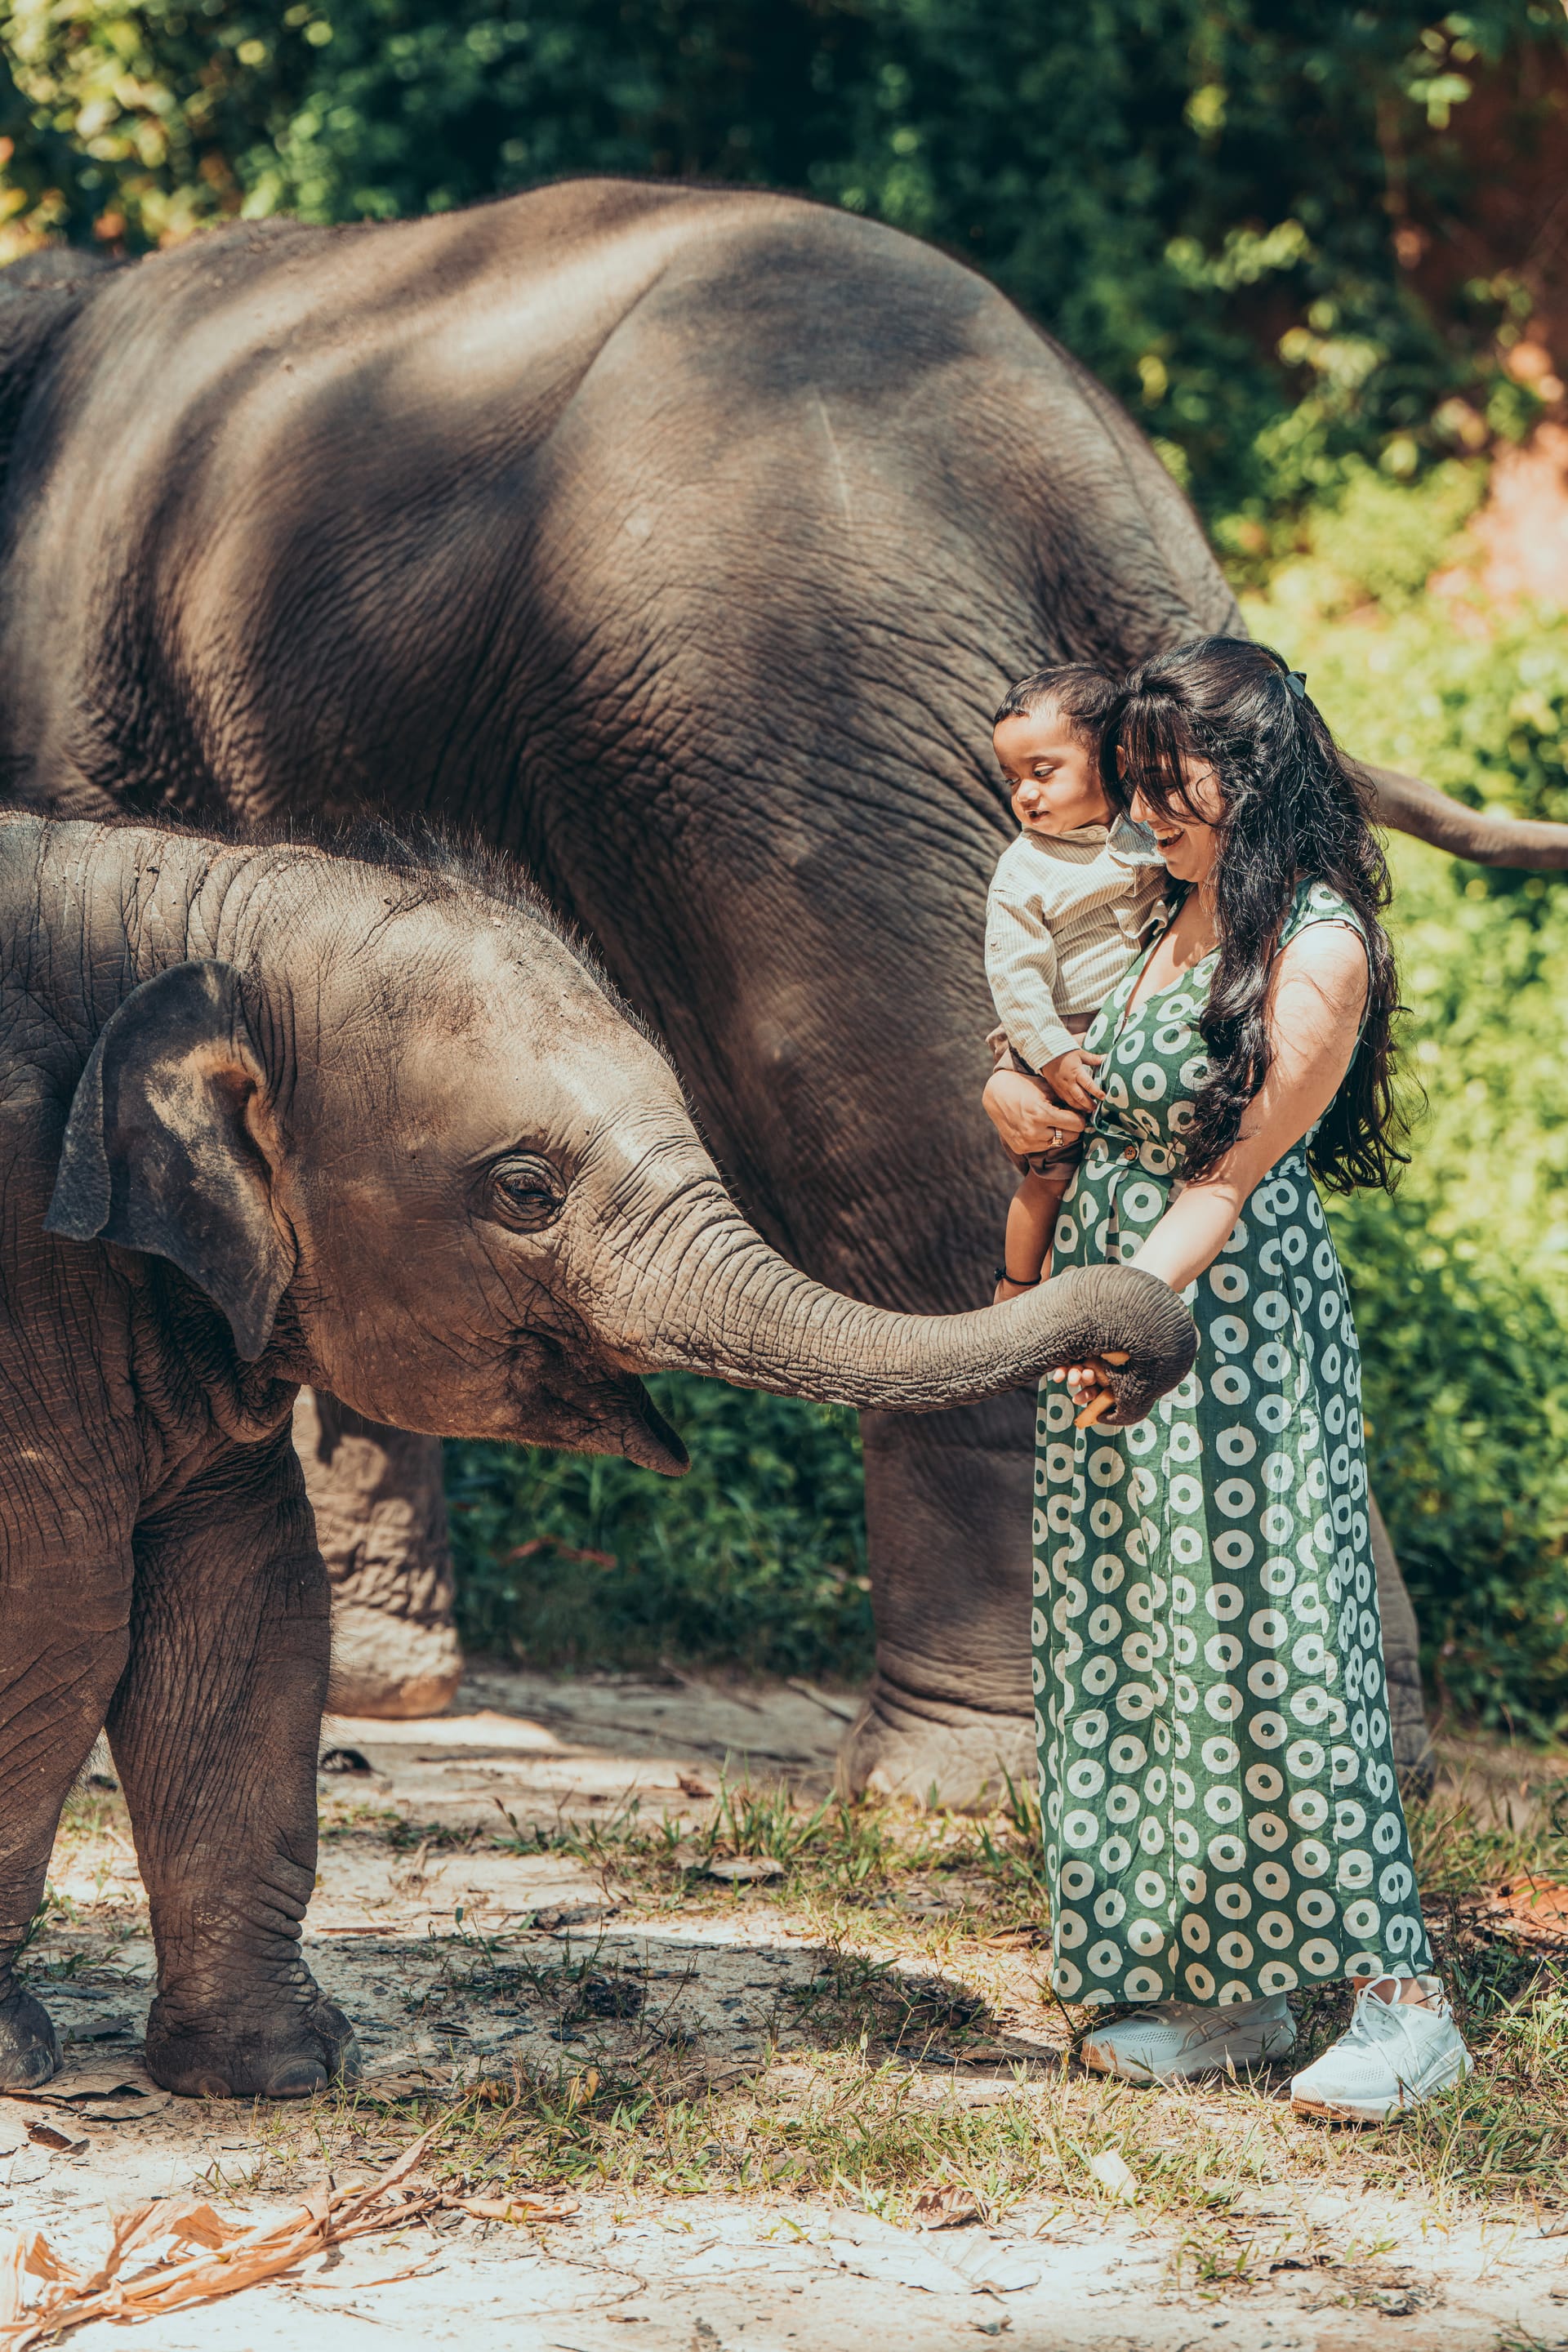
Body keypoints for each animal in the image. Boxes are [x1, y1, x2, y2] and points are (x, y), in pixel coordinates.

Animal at [0, 809, 1195, 2096]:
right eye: (526, 1189)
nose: (1123, 1369)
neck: (183, 910)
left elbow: (247, 1611)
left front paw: (281, 2072)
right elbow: (62, 1613)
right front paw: (24, 2058)